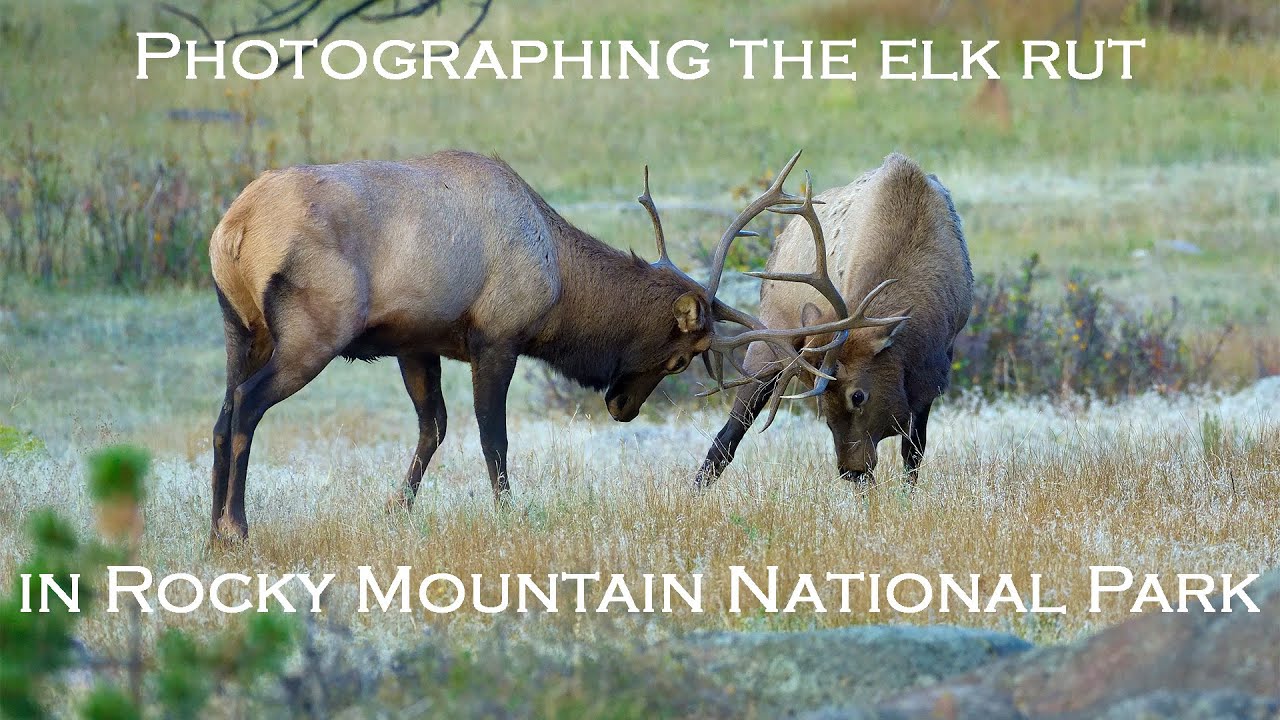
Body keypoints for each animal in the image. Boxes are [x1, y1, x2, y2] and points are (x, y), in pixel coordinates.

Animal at [206, 149, 902, 542]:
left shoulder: (416, 341)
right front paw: (509, 516)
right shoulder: (496, 336)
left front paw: (394, 512)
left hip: (239, 328)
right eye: (679, 356)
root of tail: (233, 229)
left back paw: (211, 529)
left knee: (221, 414)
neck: (559, 283)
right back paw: (237, 527)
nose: (622, 407)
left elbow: (433, 427)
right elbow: (493, 437)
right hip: (311, 330)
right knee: (246, 408)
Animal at [695, 152, 972, 487]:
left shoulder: (935, 369)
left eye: (858, 395)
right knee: (727, 436)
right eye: (822, 402)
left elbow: (913, 453)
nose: (851, 471)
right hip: (767, 342)